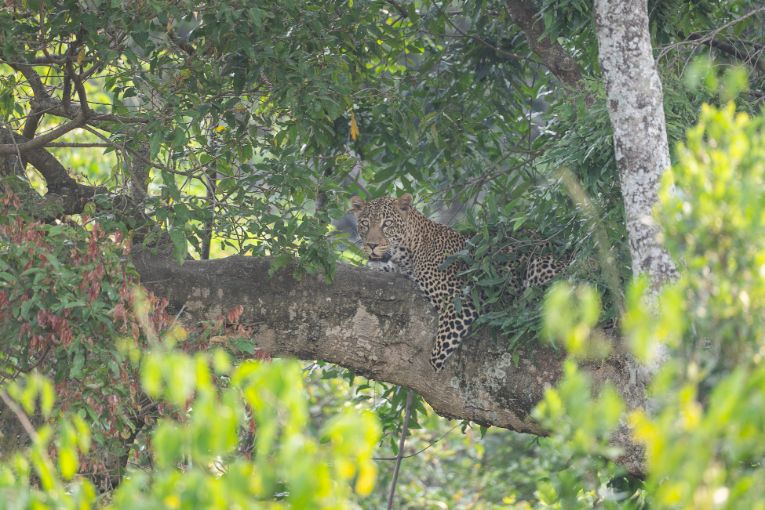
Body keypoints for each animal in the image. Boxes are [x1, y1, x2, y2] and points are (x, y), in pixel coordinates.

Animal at [350, 193, 560, 372]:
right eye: (365, 224)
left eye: (387, 224)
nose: (371, 245)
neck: (408, 251)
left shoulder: (460, 300)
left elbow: (439, 350)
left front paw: (434, 365)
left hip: (539, 264)